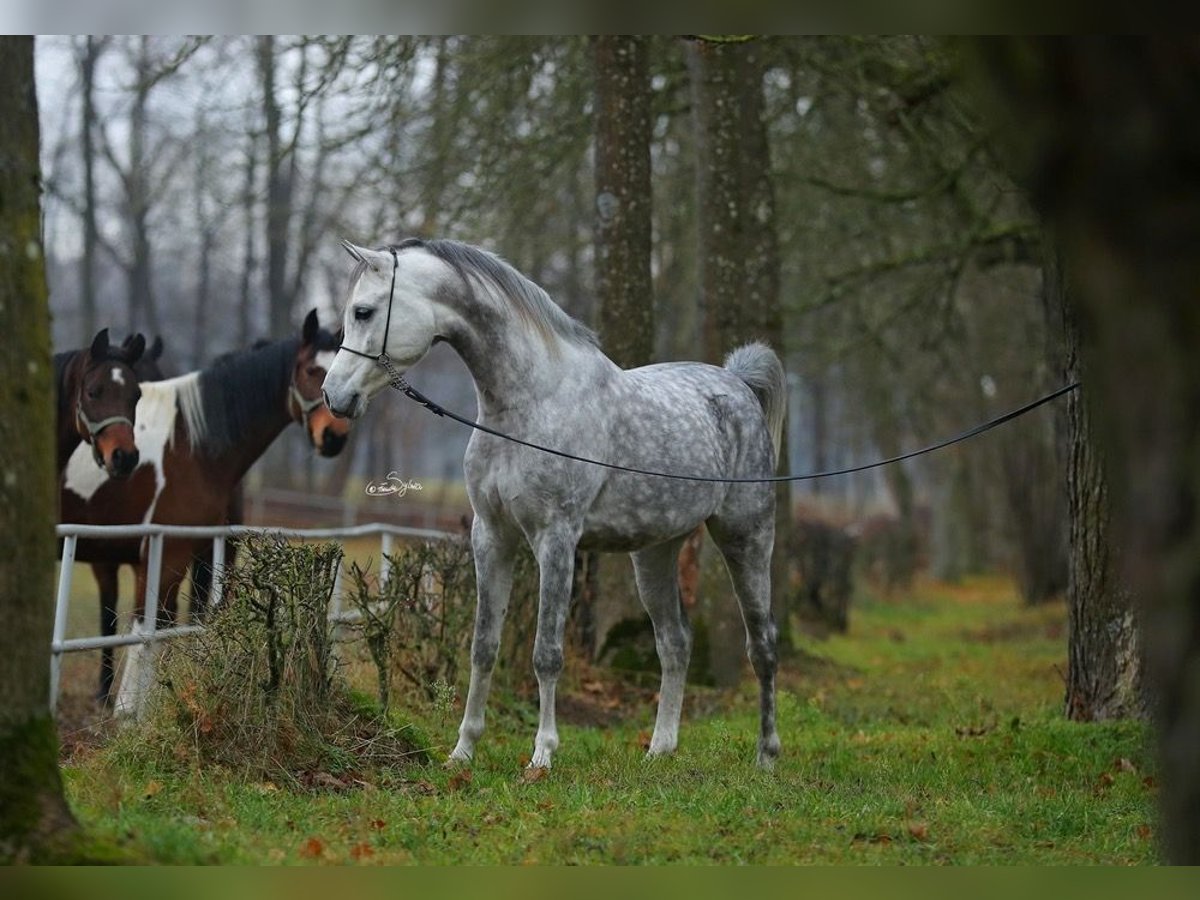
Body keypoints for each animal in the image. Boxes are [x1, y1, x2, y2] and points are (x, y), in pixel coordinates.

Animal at [321, 237, 787, 768]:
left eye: (363, 311)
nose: (333, 396)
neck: (531, 403)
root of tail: (738, 385)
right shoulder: (491, 537)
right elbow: (483, 646)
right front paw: (463, 750)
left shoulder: (556, 541)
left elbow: (547, 653)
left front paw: (542, 755)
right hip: (654, 553)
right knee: (675, 643)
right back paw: (659, 750)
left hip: (746, 538)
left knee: (763, 644)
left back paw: (766, 756)